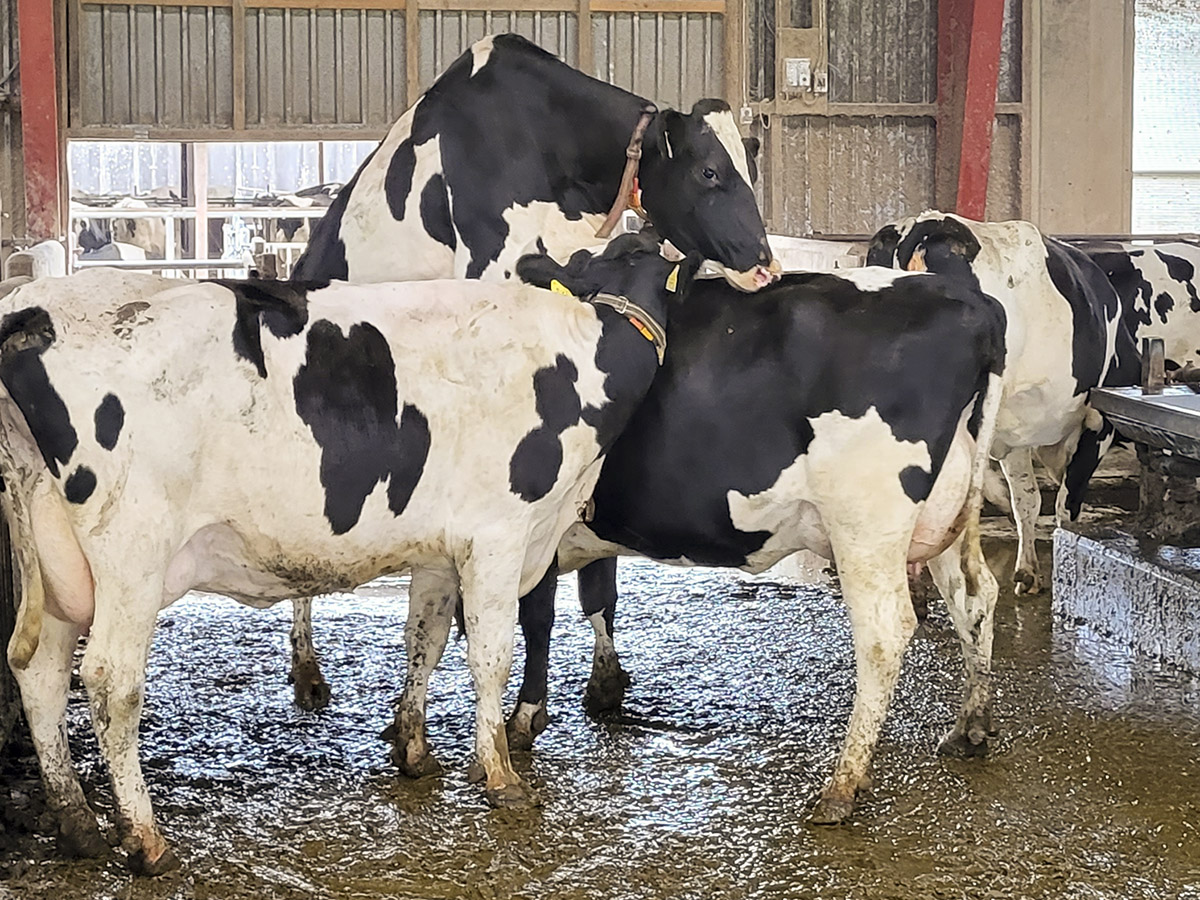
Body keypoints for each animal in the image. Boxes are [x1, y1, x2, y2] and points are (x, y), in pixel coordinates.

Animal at [0, 233, 699, 875]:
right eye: (654, 266)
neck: (573, 357)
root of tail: (34, 308)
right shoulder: (498, 536)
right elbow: (491, 656)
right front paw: (500, 775)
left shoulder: (440, 550)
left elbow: (425, 639)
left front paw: (415, 752)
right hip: (131, 550)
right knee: (110, 680)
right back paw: (145, 839)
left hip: (58, 561)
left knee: (40, 671)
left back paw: (77, 823)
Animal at [387, 264, 1009, 824]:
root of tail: (972, 302)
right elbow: (558, 608)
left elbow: (506, 621)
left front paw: (500, 726)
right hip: (944, 517)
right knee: (975, 596)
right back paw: (970, 726)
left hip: (865, 523)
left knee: (884, 633)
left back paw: (843, 784)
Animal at [866, 212, 1128, 595]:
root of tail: (925, 224)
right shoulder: (1099, 423)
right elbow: (1066, 504)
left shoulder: (1014, 433)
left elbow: (1027, 499)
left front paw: (1027, 571)